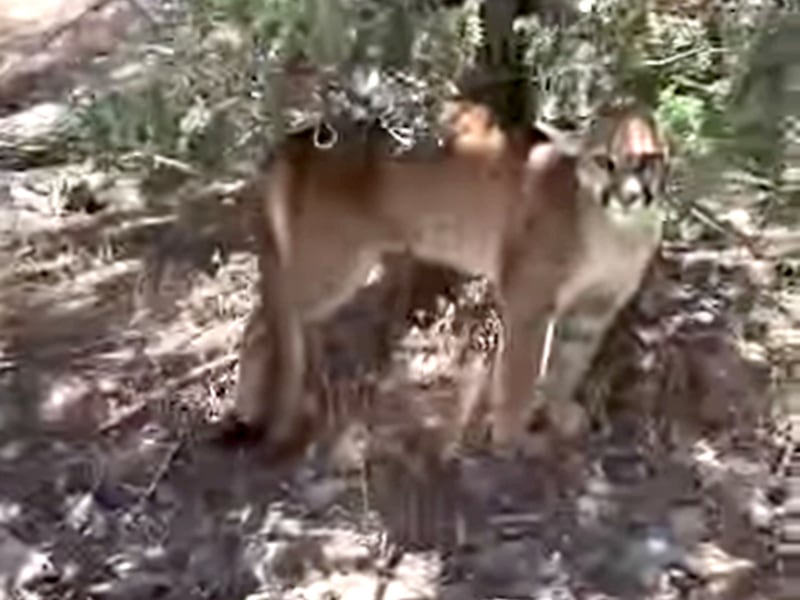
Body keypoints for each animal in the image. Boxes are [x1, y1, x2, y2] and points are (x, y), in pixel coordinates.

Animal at [226, 100, 669, 458]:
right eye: (605, 161)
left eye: (645, 162)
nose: (630, 195)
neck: (615, 229)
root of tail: (297, 136)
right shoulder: (529, 298)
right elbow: (522, 373)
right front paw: (512, 439)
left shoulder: (594, 308)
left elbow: (569, 364)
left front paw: (560, 414)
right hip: (332, 266)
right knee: (262, 323)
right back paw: (250, 411)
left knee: (267, 322)